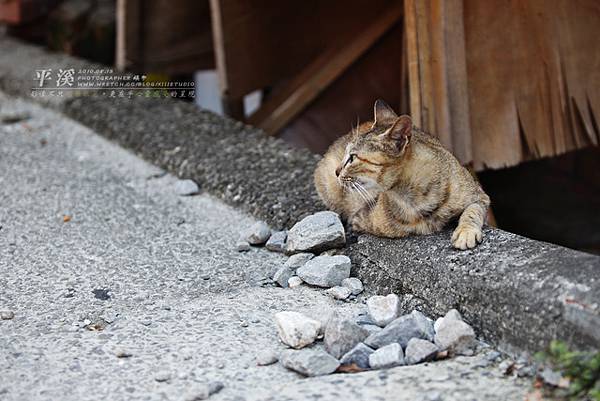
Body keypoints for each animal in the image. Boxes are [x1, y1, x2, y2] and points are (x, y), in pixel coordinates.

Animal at [312, 99, 490, 248]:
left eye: (352, 157)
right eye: (346, 155)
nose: (336, 171)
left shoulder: (480, 196)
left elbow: (472, 211)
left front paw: (465, 232)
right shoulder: (359, 219)